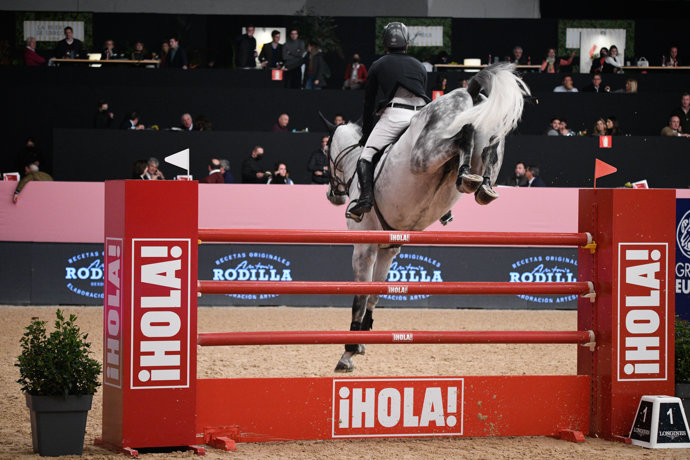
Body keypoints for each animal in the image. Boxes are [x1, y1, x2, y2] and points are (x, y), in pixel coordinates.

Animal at [324, 63, 530, 372]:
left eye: (326, 152)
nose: (333, 196)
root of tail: (469, 93)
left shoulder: (364, 247)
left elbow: (360, 297)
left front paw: (348, 352)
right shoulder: (389, 248)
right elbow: (375, 294)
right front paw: (362, 341)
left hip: (422, 157)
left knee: (461, 137)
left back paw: (468, 162)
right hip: (487, 138)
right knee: (487, 150)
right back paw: (481, 183)